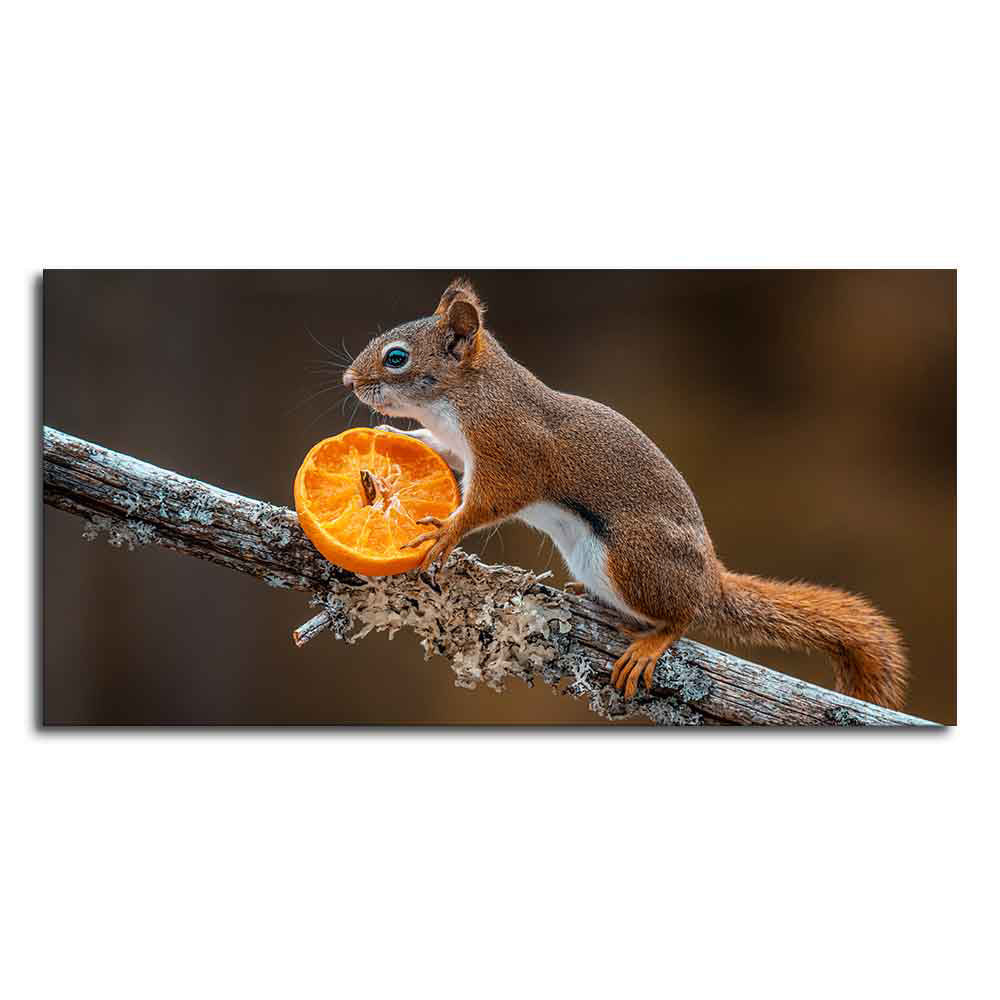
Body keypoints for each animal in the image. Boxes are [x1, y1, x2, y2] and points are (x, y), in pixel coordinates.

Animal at [342, 278, 908, 710]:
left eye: (396, 358)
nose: (348, 381)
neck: (469, 396)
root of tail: (711, 581)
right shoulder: (461, 446)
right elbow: (440, 450)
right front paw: (395, 438)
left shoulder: (512, 452)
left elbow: (489, 502)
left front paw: (445, 532)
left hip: (633, 558)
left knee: (683, 617)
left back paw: (653, 641)